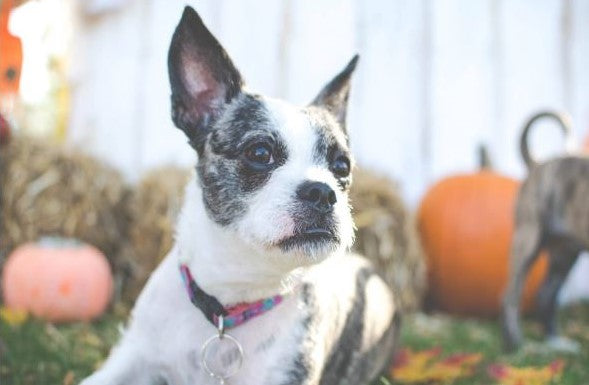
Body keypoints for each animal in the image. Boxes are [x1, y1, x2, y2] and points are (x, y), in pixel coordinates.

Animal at [498, 110, 584, 352]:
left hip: (565, 253)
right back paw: (515, 345)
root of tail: (538, 163)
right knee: (511, 295)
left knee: (546, 294)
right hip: (528, 240)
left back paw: (555, 342)